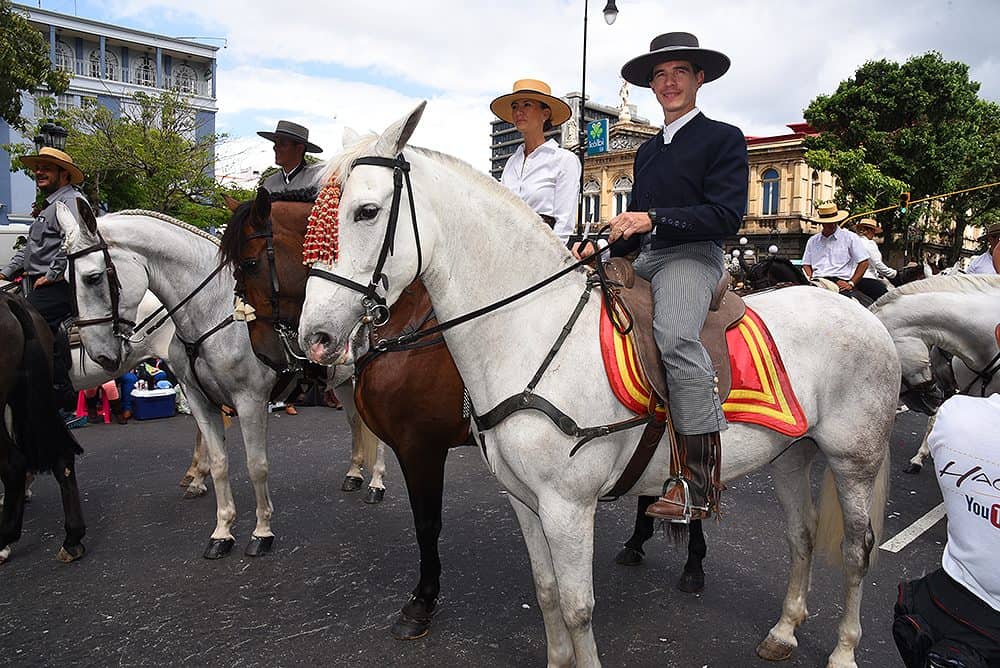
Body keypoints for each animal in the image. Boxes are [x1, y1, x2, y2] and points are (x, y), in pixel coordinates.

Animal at [55, 207, 382, 560]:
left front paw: (262, 530)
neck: (212, 313)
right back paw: (354, 473)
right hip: (342, 381)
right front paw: (222, 531)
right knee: (355, 422)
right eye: (65, 281)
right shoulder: (199, 399)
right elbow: (220, 463)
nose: (100, 354)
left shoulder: (250, 401)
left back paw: (376, 483)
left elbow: (256, 465)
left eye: (92, 277)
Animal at [296, 105, 900, 668]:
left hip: (853, 457)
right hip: (793, 452)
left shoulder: (565, 504)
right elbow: (546, 593)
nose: (315, 338)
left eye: (366, 212)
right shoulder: (523, 499)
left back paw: (843, 650)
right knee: (801, 536)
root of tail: (862, 313)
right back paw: (783, 630)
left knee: (856, 549)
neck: (531, 330)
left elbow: (576, 605)